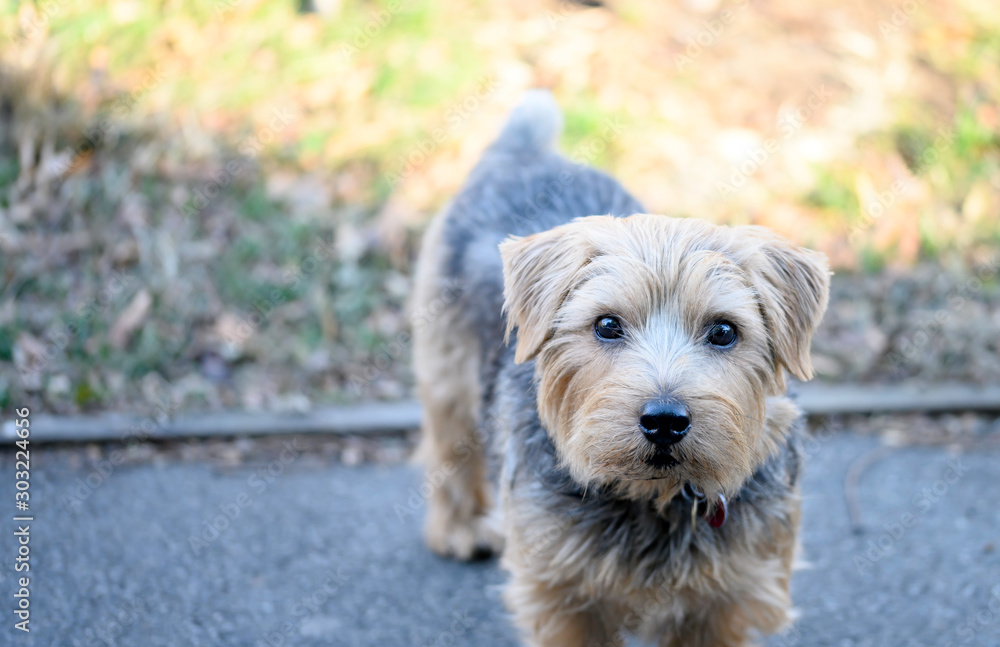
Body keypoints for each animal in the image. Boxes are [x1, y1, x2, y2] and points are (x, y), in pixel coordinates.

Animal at [410, 92, 832, 647]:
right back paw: (459, 529)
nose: (665, 421)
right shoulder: (563, 595)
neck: (653, 497)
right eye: (607, 325)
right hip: (446, 362)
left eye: (723, 331)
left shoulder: (729, 599)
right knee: (450, 441)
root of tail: (520, 154)